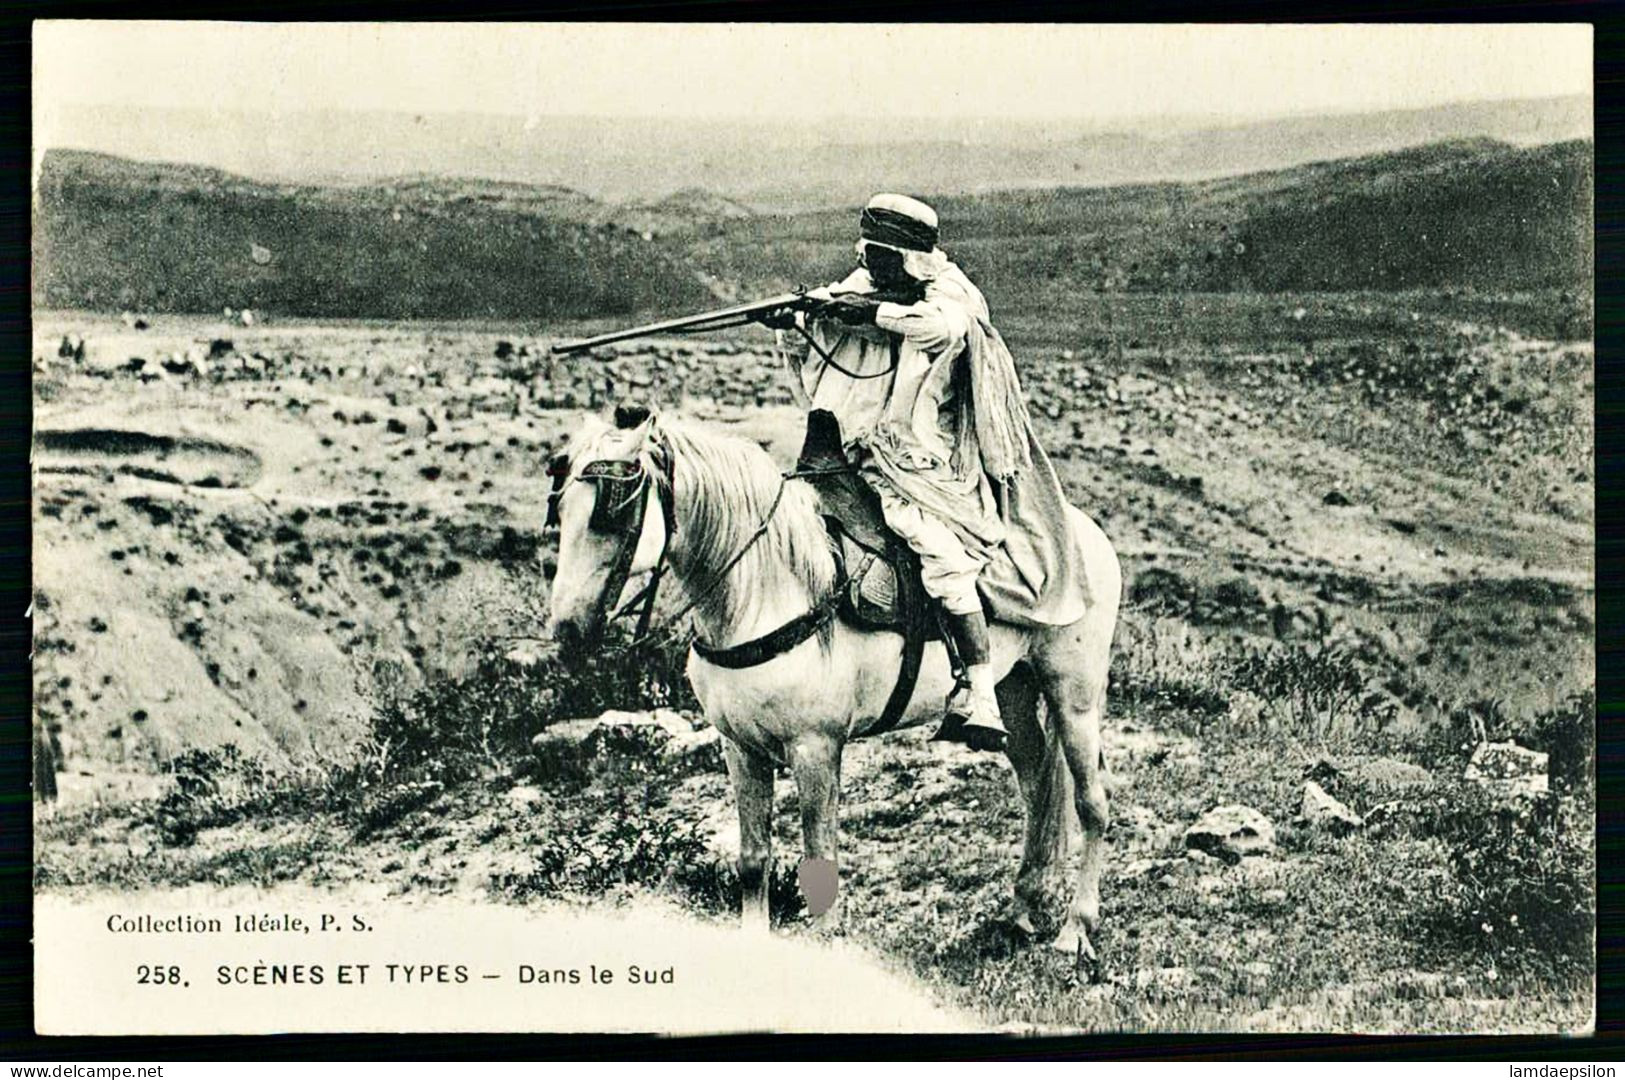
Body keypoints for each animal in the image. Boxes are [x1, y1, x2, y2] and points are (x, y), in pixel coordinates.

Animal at [546, 409, 1118, 954]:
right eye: (562, 512)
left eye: (611, 514)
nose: (567, 629)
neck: (765, 590)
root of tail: (1084, 532)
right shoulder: (740, 749)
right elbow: (753, 858)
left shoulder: (815, 749)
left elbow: (818, 862)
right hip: (1012, 689)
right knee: (1038, 782)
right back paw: (1024, 909)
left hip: (1073, 694)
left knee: (1090, 800)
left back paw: (1076, 929)